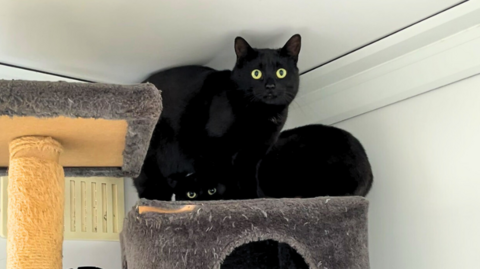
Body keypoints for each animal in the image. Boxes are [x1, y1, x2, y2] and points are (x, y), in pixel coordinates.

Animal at [134, 34, 300, 199]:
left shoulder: (253, 154)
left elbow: (249, 180)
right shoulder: (217, 148)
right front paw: (231, 198)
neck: (261, 114)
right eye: (256, 73)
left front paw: (253, 198)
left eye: (281, 72)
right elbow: (226, 177)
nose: (270, 86)